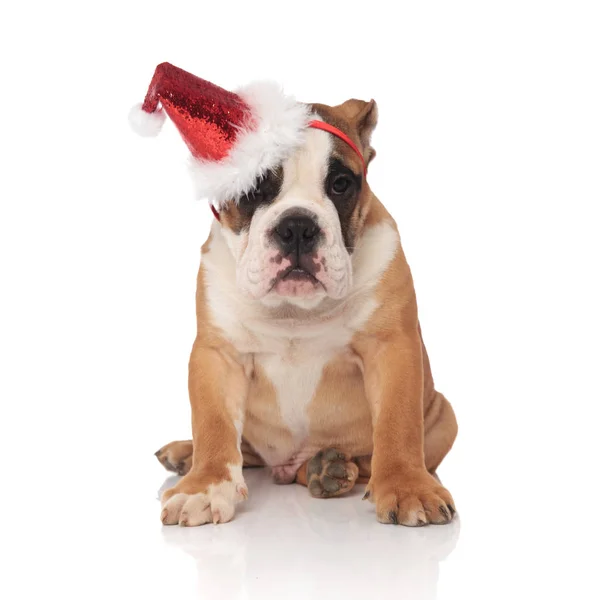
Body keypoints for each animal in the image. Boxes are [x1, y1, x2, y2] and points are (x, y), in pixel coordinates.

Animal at [152, 96, 458, 528]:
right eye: (252, 188)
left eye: (341, 183)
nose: (297, 226)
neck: (294, 312)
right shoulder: (218, 357)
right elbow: (213, 423)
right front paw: (204, 486)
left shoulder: (391, 349)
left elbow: (398, 423)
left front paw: (407, 485)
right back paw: (189, 453)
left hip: (444, 414)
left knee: (363, 461)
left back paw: (326, 468)